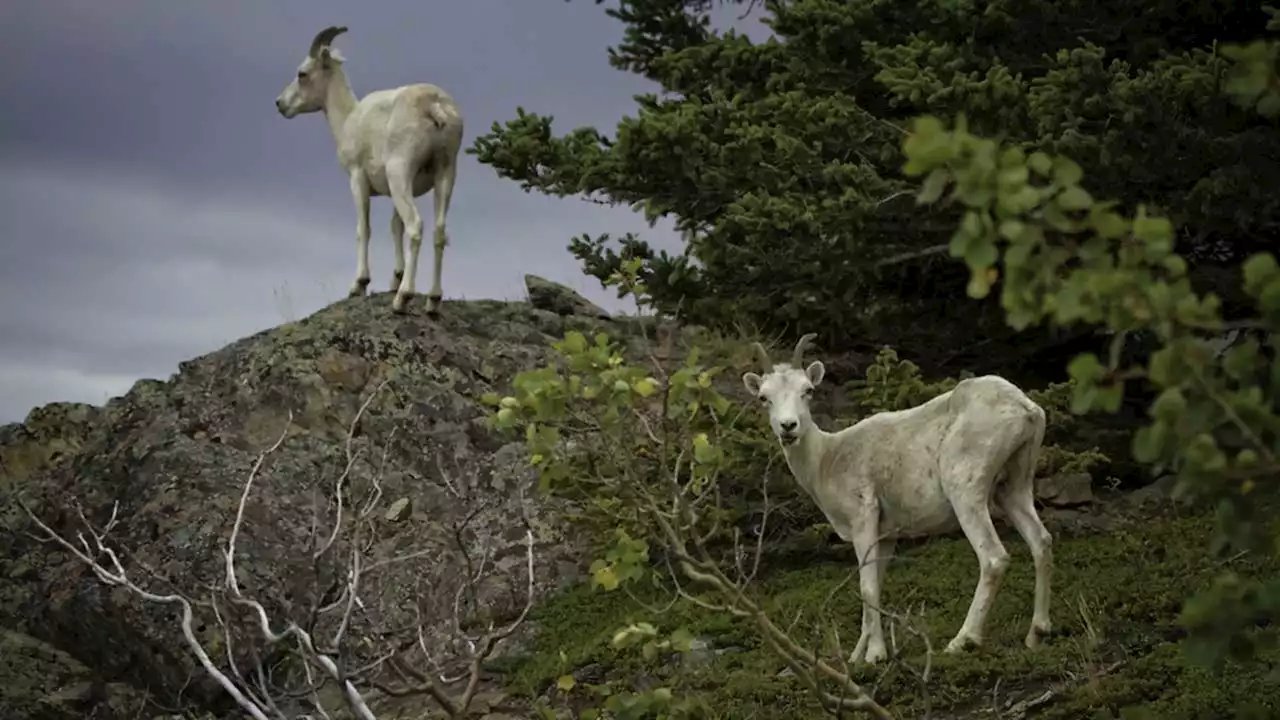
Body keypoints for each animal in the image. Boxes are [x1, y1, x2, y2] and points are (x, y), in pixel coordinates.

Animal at [275, 26, 465, 312]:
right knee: (438, 232)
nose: (280, 103)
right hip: (445, 174)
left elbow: (364, 229)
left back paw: (403, 298)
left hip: (400, 171)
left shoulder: (358, 180)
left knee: (416, 226)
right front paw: (395, 278)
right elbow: (395, 226)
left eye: (303, 73)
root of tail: (435, 105)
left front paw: (360, 284)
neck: (349, 119)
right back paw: (432, 301)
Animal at [747, 333, 1054, 666]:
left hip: (966, 487)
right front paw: (857, 657)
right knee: (1041, 541)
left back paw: (962, 641)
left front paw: (875, 656)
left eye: (808, 390)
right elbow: (876, 587)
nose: (788, 427)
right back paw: (1037, 634)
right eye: (763, 397)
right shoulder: (886, 535)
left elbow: (867, 587)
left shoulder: (863, 518)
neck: (826, 459)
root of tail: (1026, 410)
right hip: (1014, 486)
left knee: (994, 557)